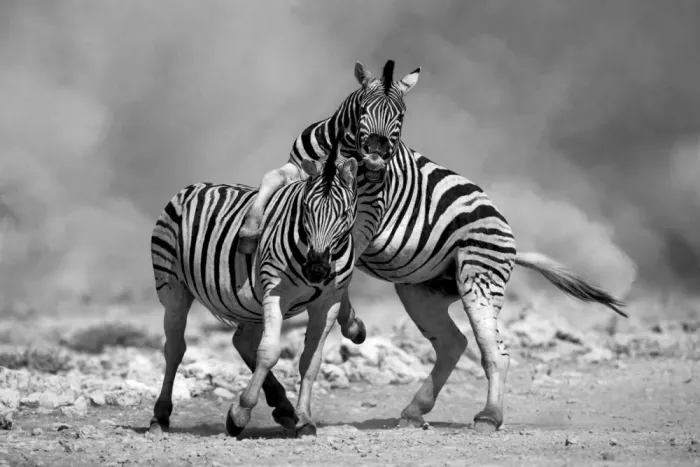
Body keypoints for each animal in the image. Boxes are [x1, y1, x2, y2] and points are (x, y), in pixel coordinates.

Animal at [149, 128, 359, 437]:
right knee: (174, 349)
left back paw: (283, 406)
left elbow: (311, 362)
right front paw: (240, 414)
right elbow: (269, 352)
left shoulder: (328, 302)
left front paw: (305, 418)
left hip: (248, 302)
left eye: (344, 214)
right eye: (306, 209)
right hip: (173, 289)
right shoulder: (275, 290)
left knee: (240, 341)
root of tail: (194, 186)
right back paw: (160, 416)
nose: (316, 269)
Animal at [232, 59, 628, 433]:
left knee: (495, 354)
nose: (377, 155)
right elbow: (271, 178)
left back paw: (489, 416)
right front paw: (249, 231)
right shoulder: (300, 170)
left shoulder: (367, 213)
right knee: (453, 343)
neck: (343, 156)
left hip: (478, 281)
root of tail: (508, 233)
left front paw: (351, 321)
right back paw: (414, 410)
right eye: (363, 109)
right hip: (421, 293)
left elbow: (346, 257)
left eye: (401, 116)